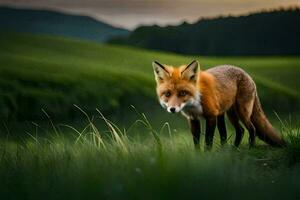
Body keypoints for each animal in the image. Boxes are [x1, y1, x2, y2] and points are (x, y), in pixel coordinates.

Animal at [154, 60, 284, 149]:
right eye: (167, 94)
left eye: (182, 93)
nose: (172, 109)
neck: (195, 101)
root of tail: (247, 74)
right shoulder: (193, 118)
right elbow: (196, 142)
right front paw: (198, 157)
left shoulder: (211, 116)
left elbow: (208, 141)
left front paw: (207, 156)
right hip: (228, 114)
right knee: (239, 131)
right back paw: (231, 150)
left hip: (241, 112)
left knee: (252, 129)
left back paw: (250, 149)